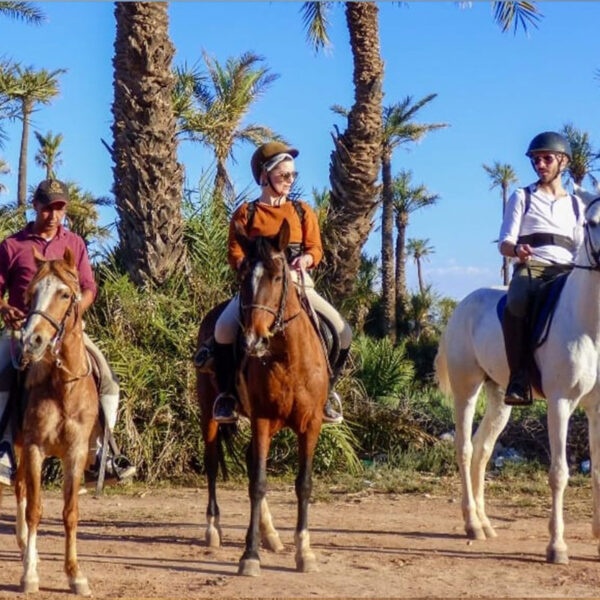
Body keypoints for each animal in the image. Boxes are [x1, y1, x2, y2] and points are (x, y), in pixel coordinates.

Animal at [196, 220, 328, 576]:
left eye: (279, 276)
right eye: (244, 278)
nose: (253, 341)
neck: (287, 358)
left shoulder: (310, 424)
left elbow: (304, 484)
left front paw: (304, 552)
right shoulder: (263, 419)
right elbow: (257, 482)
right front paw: (250, 555)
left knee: (246, 458)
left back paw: (270, 535)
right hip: (209, 413)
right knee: (212, 463)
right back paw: (214, 528)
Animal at [434, 182, 600, 564]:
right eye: (593, 223)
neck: (590, 324)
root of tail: (462, 305)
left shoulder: (597, 407)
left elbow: (598, 471)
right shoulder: (560, 403)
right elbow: (559, 473)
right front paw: (557, 546)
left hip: (500, 398)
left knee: (483, 449)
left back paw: (483, 522)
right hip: (467, 391)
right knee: (465, 448)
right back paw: (472, 524)